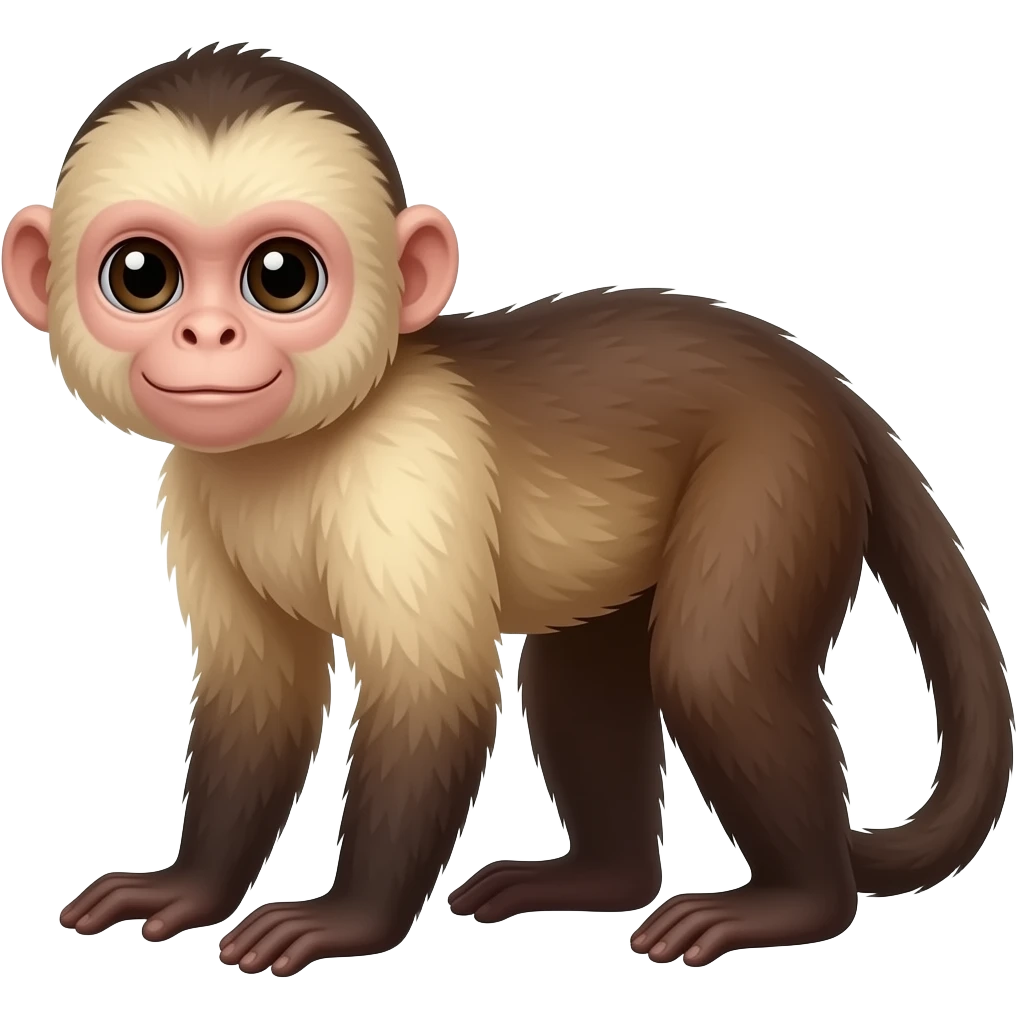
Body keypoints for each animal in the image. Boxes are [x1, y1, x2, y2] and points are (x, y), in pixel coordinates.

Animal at [4, 43, 1013, 977]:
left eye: (281, 276)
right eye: (143, 275)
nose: (207, 335)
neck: (298, 445)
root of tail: (815, 376)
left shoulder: (407, 467)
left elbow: (433, 699)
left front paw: (346, 920)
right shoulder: (192, 487)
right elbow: (259, 699)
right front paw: (190, 887)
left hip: (778, 466)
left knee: (713, 667)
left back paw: (795, 903)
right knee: (578, 678)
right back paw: (600, 878)